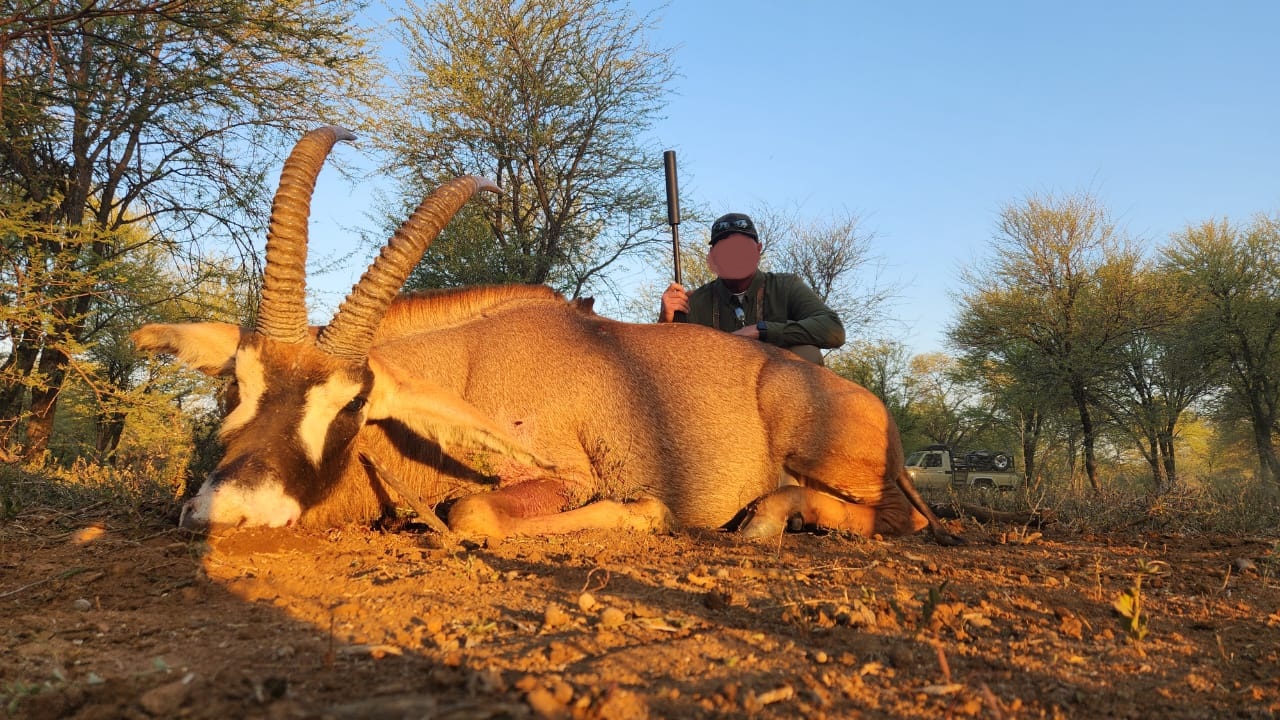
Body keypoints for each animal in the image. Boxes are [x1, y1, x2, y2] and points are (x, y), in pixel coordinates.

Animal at [133, 126, 959, 545]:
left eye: (353, 405)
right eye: (233, 388)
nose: (231, 513)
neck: (464, 368)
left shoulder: (563, 476)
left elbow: (471, 514)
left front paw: (646, 515)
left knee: (900, 519)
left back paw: (767, 520)